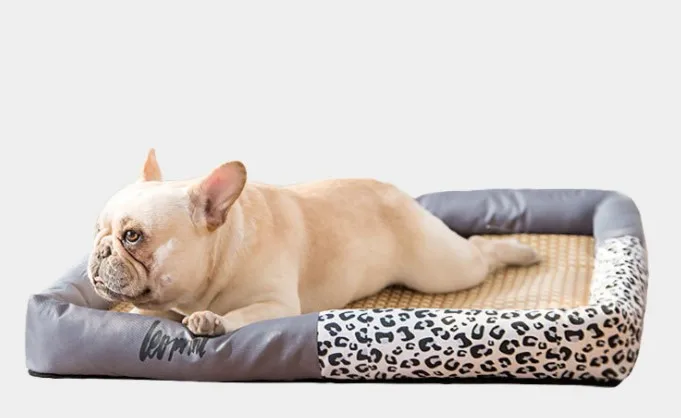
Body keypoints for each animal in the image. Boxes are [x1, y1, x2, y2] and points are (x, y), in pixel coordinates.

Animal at [87, 150, 540, 336]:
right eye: (97, 230)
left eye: (133, 236)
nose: (101, 250)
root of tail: (398, 193)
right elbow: (153, 313)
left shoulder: (276, 305)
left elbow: (240, 315)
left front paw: (212, 320)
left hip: (442, 270)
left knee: (480, 248)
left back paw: (520, 250)